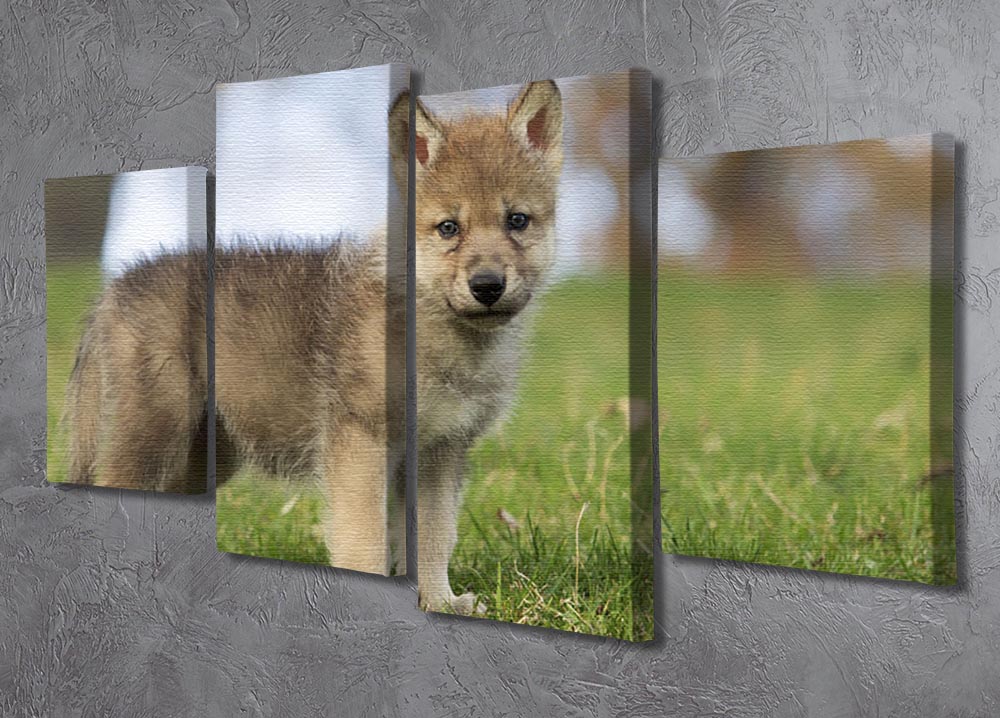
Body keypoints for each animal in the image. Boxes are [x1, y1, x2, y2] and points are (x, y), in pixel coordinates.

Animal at [62, 79, 563, 613]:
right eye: (449, 227)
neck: (434, 329)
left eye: (517, 220)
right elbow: (363, 538)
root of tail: (113, 291)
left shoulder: (441, 450)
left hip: (207, 454)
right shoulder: (361, 440)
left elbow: (434, 535)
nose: (487, 286)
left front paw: (439, 602)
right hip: (154, 429)